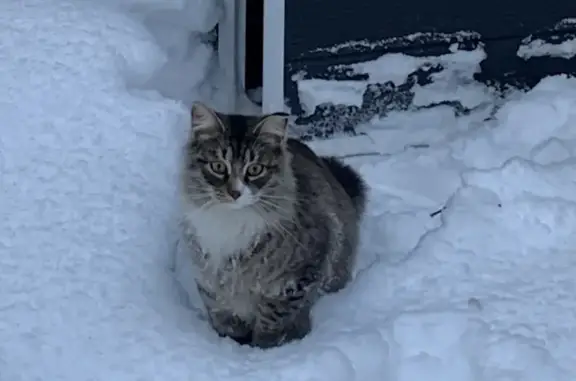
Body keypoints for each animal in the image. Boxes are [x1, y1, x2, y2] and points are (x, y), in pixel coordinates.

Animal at [179, 101, 368, 348]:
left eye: (255, 169)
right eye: (218, 167)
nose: (235, 193)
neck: (231, 222)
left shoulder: (295, 280)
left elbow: (273, 322)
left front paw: (265, 348)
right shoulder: (212, 286)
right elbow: (227, 324)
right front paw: (234, 344)